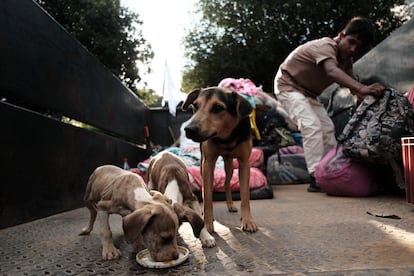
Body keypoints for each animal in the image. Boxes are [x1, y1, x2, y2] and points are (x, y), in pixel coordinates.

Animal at [183, 86, 258, 233]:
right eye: (195, 106)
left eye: (218, 108)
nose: (189, 129)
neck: (226, 137)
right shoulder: (208, 162)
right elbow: (207, 198)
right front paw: (207, 223)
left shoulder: (244, 163)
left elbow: (245, 196)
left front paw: (247, 220)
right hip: (203, 165)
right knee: (205, 190)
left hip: (229, 166)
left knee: (226, 184)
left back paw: (230, 204)